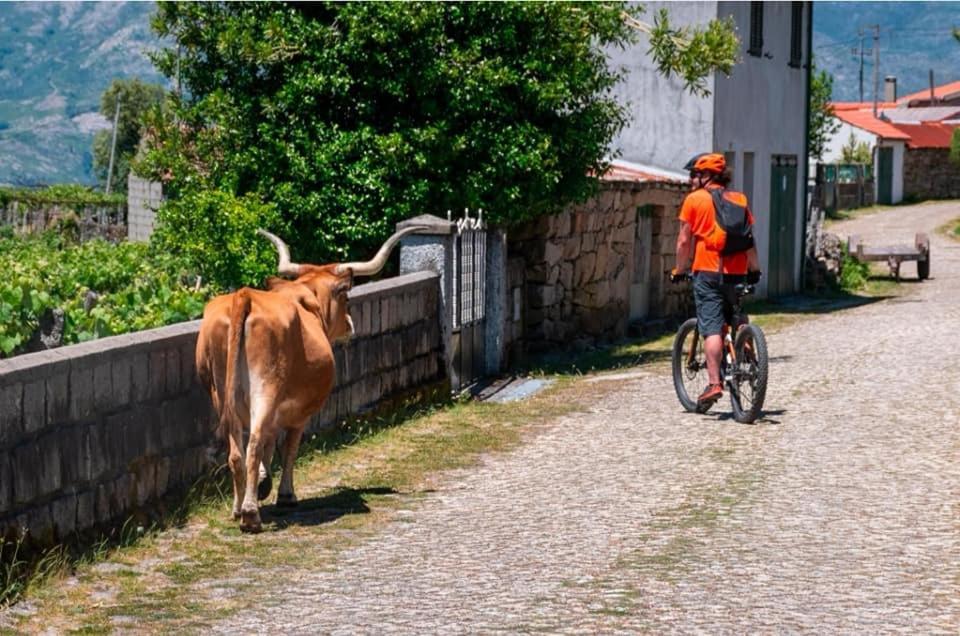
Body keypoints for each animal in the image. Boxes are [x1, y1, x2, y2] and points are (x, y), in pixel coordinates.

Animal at [198, 225, 424, 532]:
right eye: (346, 298)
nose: (350, 324)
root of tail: (245, 296)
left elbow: (270, 444)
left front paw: (263, 484)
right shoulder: (299, 413)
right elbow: (288, 448)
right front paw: (285, 494)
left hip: (221, 395)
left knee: (236, 453)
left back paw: (236, 509)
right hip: (266, 388)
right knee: (254, 444)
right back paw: (250, 514)